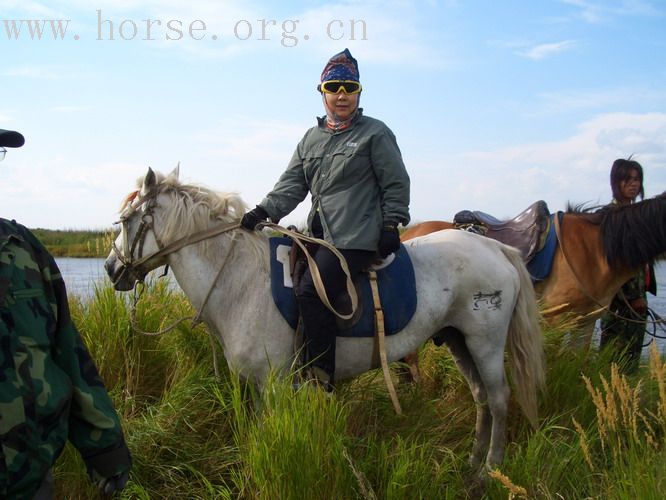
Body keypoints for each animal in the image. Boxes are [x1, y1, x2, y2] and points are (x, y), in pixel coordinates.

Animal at [102, 167, 540, 468]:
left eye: (125, 221)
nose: (110, 268)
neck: (240, 280)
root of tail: (494, 247)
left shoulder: (274, 384)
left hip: (485, 341)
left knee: (499, 398)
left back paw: (489, 471)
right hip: (456, 339)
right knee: (481, 398)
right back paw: (471, 464)